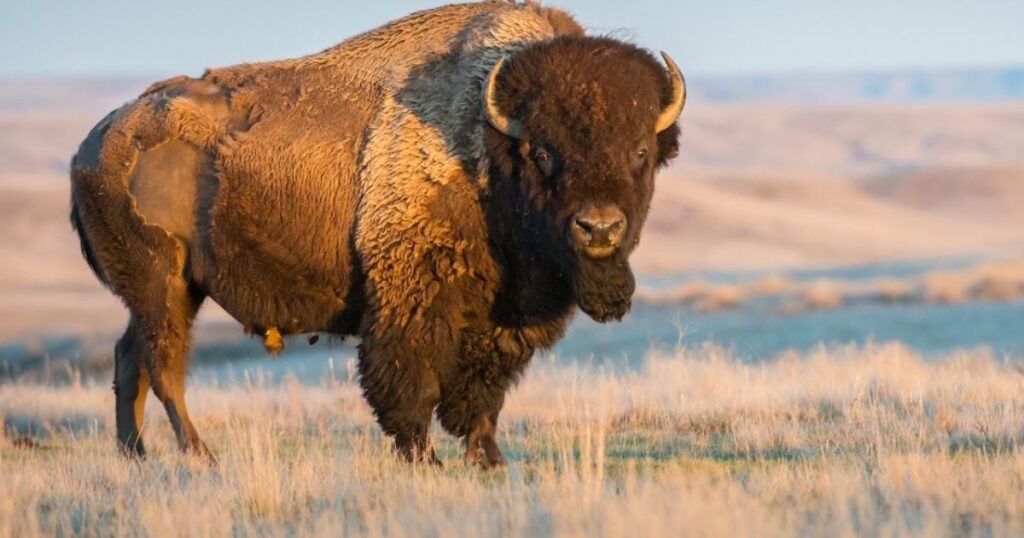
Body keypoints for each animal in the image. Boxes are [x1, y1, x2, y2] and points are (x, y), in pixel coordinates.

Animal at [70, 1, 684, 467]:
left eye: (640, 152)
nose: (599, 228)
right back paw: (200, 455)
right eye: (542, 152)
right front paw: (425, 460)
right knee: (163, 365)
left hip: (167, 291)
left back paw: (135, 456)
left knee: (129, 358)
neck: (487, 142)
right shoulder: (410, 299)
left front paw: (489, 460)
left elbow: (483, 393)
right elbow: (410, 383)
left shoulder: (503, 320)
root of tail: (94, 144)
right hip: (164, 283)